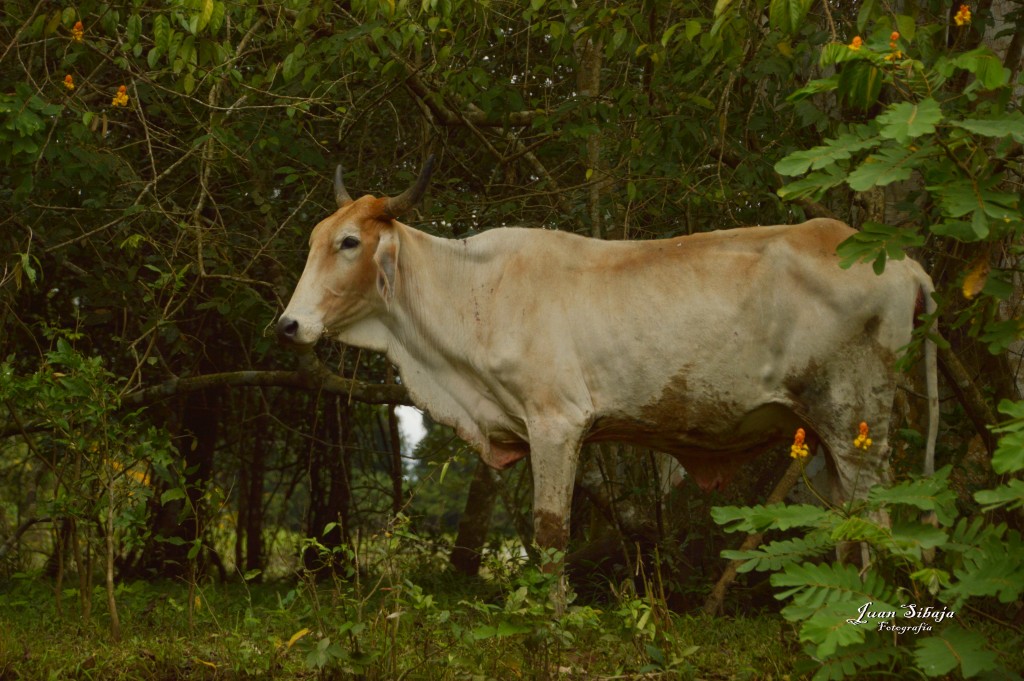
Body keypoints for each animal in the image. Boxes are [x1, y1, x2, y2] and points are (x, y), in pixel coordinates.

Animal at [278, 159, 937, 557]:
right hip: (829, 438)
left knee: (879, 524)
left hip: (856, 424)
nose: (289, 324)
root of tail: (906, 263)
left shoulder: (556, 423)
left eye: (350, 242)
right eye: (313, 240)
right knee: (847, 525)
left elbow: (551, 537)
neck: (472, 289)